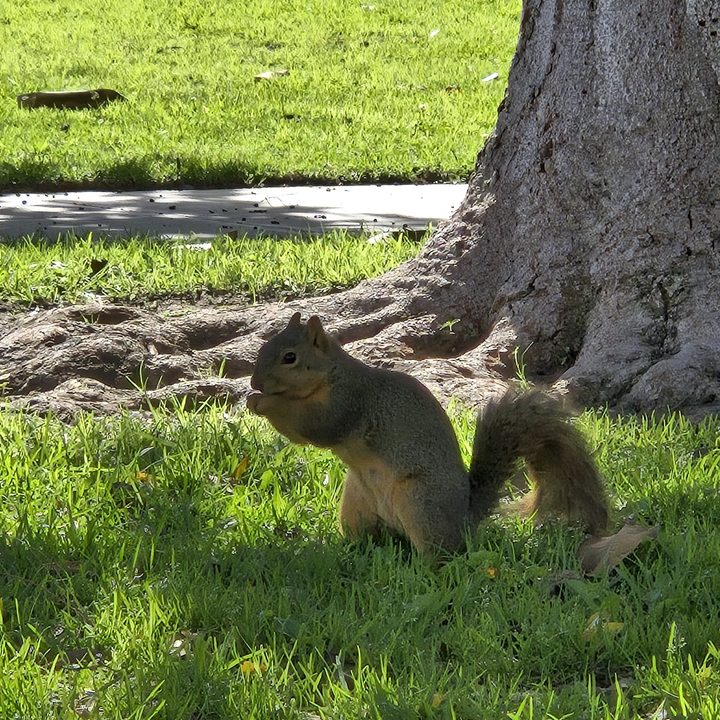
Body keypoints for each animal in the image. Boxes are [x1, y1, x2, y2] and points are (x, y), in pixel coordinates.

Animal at [247, 313, 609, 555]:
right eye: (265, 346)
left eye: (290, 357)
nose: (255, 382)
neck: (332, 375)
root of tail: (464, 518)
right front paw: (254, 399)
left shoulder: (348, 402)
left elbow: (316, 427)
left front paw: (265, 402)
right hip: (356, 504)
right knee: (369, 538)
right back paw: (352, 553)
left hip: (420, 501)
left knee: (439, 553)